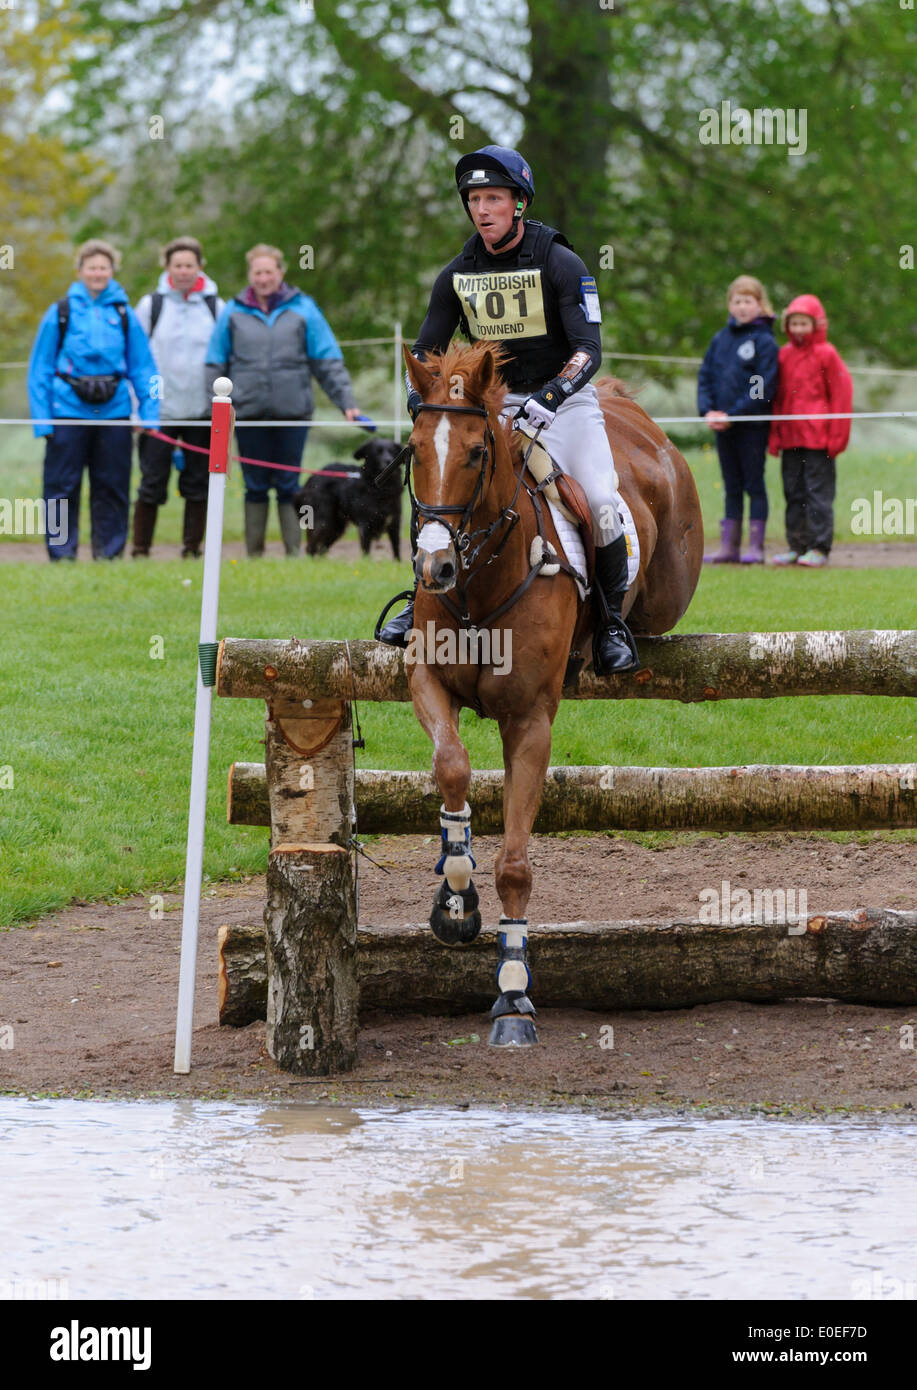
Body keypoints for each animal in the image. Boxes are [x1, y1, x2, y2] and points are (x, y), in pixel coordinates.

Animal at [400, 344, 703, 1045]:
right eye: (415, 449)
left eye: (476, 454)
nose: (434, 568)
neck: (480, 581)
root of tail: (623, 407)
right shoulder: (426, 679)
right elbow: (451, 767)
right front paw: (455, 896)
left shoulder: (530, 720)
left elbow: (515, 863)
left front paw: (513, 994)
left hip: (668, 584)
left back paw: (616, 635)